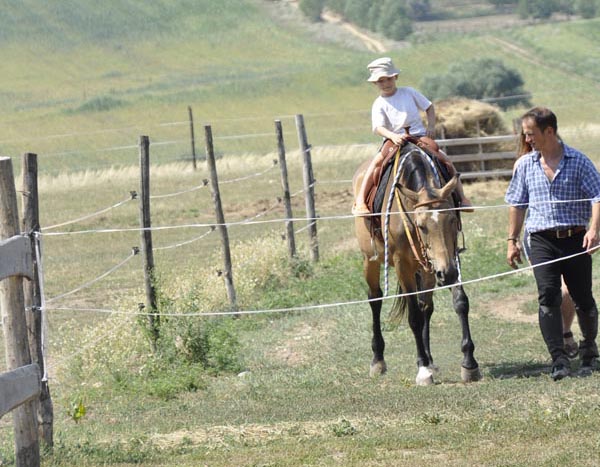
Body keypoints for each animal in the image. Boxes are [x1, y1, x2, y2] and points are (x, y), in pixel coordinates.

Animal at [354, 144, 480, 388]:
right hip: (370, 260)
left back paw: (430, 359)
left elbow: (460, 303)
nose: (447, 274)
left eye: (452, 220)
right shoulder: (402, 264)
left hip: (427, 268)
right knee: (375, 299)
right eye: (422, 226)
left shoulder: (450, 257)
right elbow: (413, 317)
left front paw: (469, 363)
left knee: (426, 307)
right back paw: (378, 360)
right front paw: (422, 370)